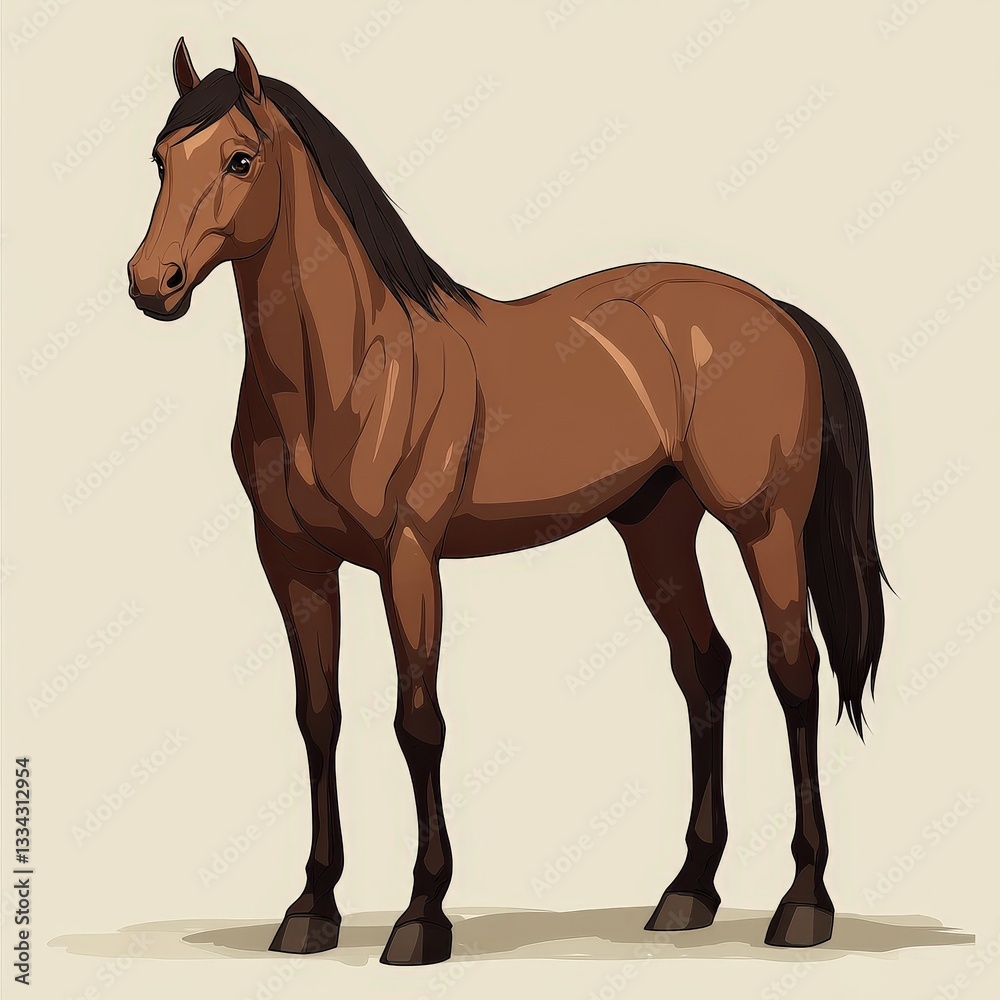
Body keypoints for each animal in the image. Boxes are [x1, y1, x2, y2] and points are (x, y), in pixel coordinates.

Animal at [128, 38, 888, 965]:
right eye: (160, 159)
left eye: (241, 159)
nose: (151, 282)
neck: (348, 369)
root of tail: (774, 311)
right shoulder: (294, 563)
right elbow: (318, 719)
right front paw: (311, 908)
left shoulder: (409, 559)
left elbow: (418, 721)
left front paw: (422, 917)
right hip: (656, 531)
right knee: (703, 666)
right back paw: (688, 891)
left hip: (764, 525)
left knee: (795, 671)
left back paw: (804, 903)